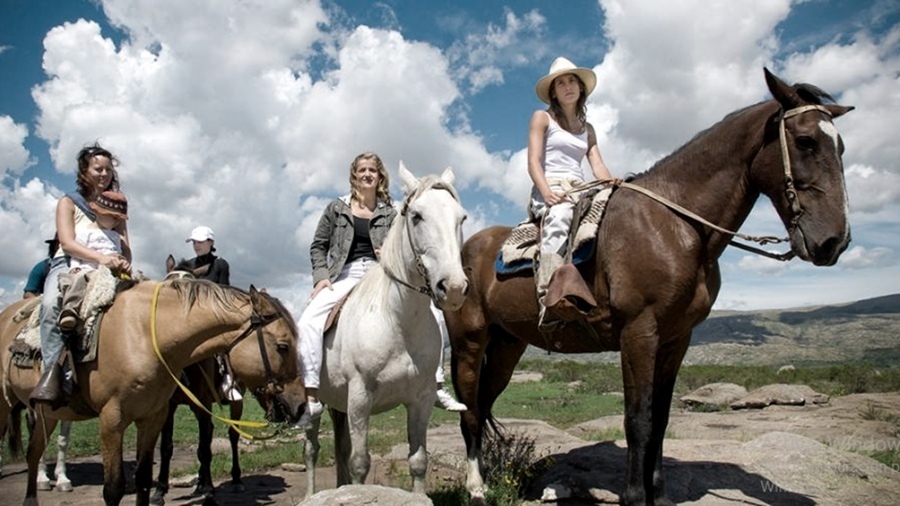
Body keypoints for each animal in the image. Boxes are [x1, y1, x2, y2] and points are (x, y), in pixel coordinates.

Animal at [0, 278, 302, 504]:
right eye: (283, 346)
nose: (298, 405)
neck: (146, 335)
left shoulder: (156, 414)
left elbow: (149, 475)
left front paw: (202, 489)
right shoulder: (114, 420)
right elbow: (117, 485)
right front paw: (167, 491)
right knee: (34, 451)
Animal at [302, 164, 472, 496]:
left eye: (461, 218)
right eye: (417, 216)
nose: (454, 288)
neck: (397, 323)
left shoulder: (420, 399)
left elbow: (418, 461)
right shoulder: (359, 398)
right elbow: (359, 463)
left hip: (339, 405)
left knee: (339, 448)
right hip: (320, 405)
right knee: (312, 450)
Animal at [446, 68, 856, 506]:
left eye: (841, 146)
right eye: (806, 140)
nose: (835, 241)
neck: (676, 227)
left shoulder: (676, 339)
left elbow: (660, 418)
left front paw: (659, 495)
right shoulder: (639, 332)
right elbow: (637, 419)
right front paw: (634, 496)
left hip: (508, 346)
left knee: (483, 404)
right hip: (469, 341)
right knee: (469, 410)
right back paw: (476, 488)